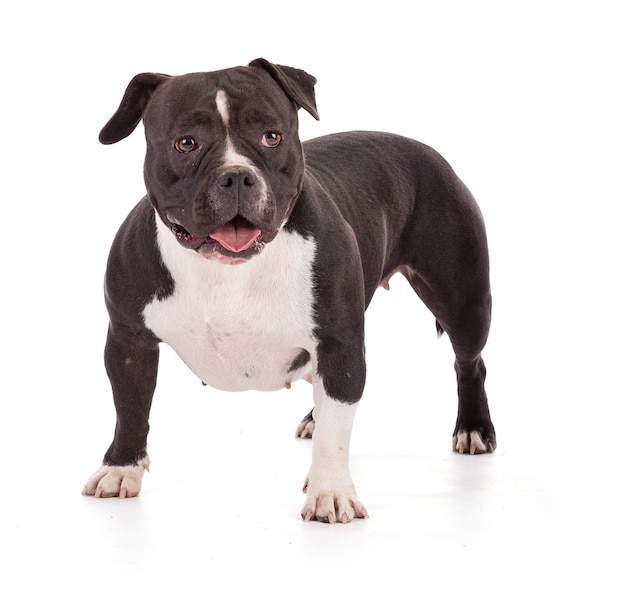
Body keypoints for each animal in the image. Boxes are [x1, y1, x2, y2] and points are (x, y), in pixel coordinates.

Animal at [83, 58, 494, 524]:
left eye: (272, 136)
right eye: (185, 143)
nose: (237, 176)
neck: (227, 269)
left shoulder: (339, 341)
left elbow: (337, 430)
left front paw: (330, 491)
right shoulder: (128, 340)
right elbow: (130, 409)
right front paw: (121, 469)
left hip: (462, 302)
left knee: (469, 362)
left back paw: (474, 428)